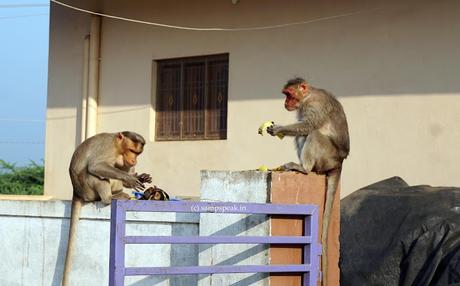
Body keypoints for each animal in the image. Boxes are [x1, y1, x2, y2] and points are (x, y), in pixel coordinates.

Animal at [62, 132, 152, 286]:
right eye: (132, 151)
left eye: (137, 153)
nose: (134, 160)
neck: (117, 146)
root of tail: (77, 192)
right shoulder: (107, 147)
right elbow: (96, 166)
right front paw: (129, 178)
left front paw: (140, 177)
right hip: (87, 189)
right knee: (96, 173)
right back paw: (109, 198)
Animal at [266, 77, 348, 286]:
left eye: (289, 94)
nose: (285, 103)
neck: (308, 95)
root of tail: (340, 162)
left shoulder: (314, 105)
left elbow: (307, 125)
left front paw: (278, 128)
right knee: (303, 135)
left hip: (327, 157)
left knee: (312, 134)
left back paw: (305, 168)